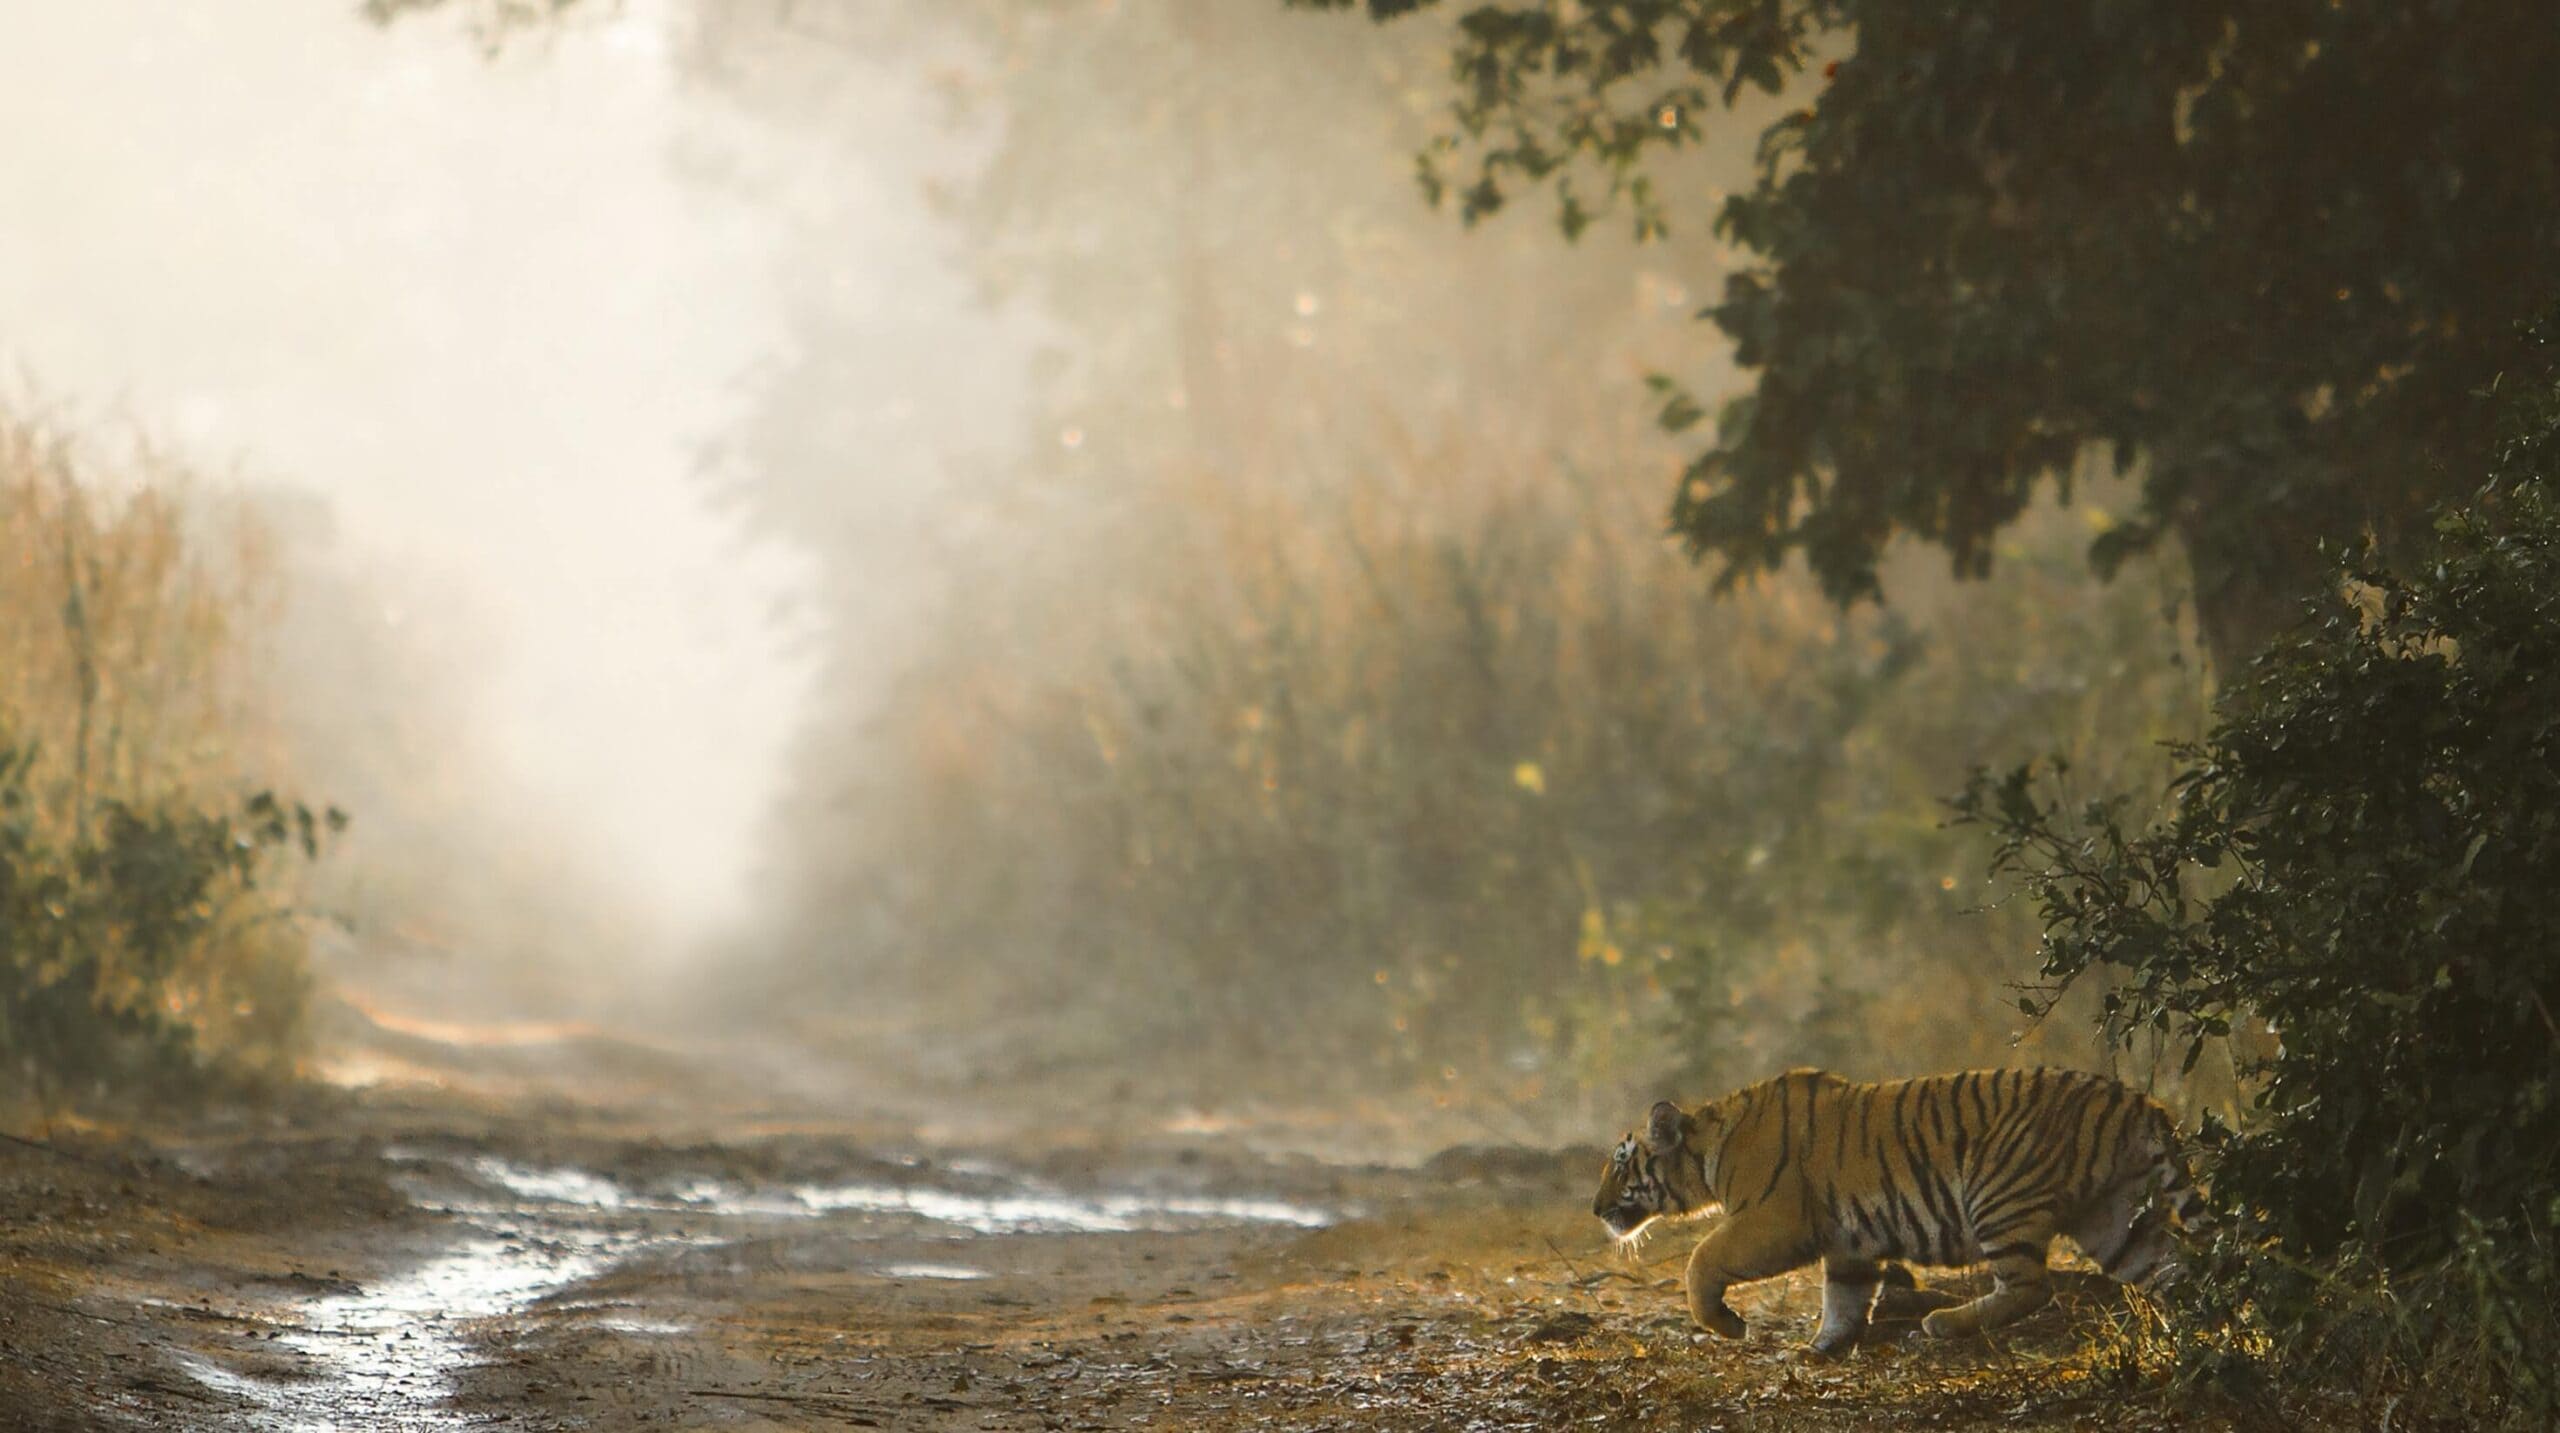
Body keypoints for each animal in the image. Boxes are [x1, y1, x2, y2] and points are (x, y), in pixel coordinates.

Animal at [1587, 1064, 2211, 1351]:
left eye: (1620, 1163)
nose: (1594, 1209)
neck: (1708, 1154)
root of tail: (2136, 1101)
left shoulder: (1775, 1220)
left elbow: (1701, 1260)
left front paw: (1728, 1325)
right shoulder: (1847, 1242)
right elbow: (1843, 1297)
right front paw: (1822, 1349)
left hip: (1999, 1192)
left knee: (2033, 1286)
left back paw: (1943, 1323)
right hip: (2113, 1219)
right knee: (2174, 1269)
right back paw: (2202, 1330)